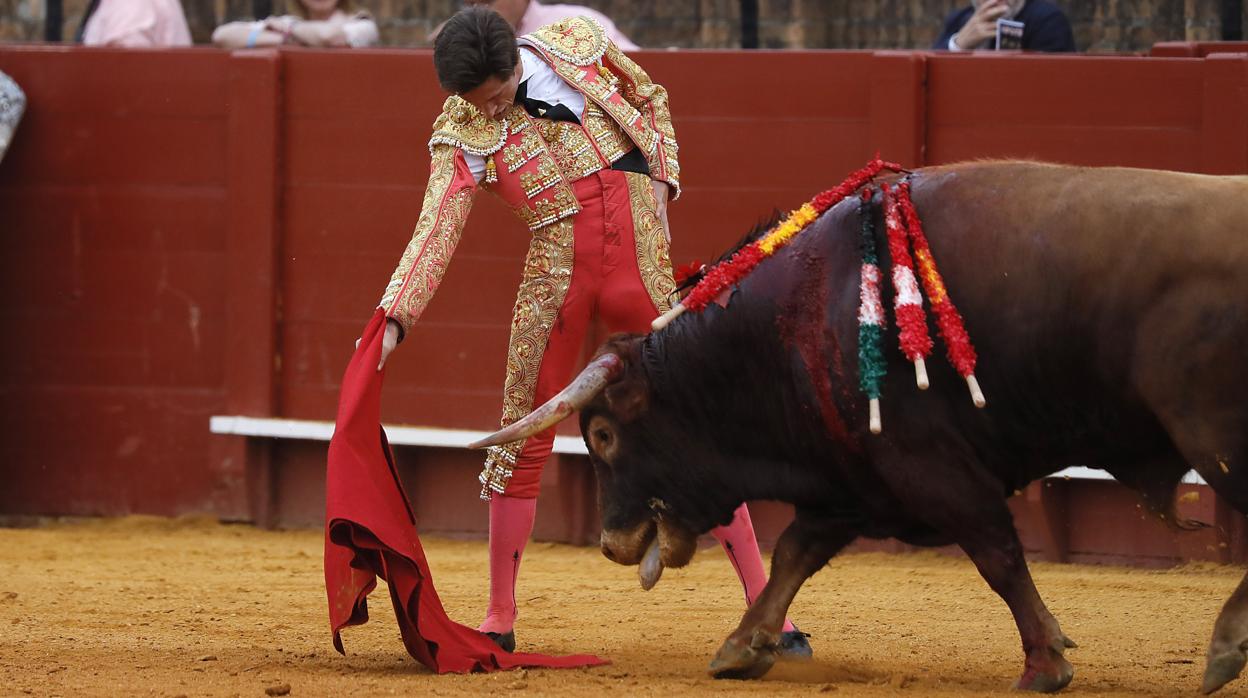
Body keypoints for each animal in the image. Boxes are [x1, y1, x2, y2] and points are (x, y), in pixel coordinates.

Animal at [469, 162, 1248, 694]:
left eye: (602, 435)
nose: (612, 543)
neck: (801, 313)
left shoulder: (929, 465)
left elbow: (997, 555)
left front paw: (1044, 663)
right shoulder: (851, 479)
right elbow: (793, 553)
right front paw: (742, 647)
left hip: (1216, 442)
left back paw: (1223, 648)